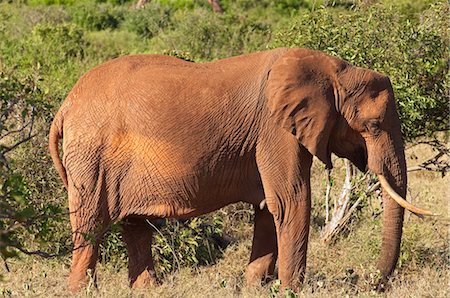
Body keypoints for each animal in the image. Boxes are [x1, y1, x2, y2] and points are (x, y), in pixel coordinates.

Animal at [49, 47, 432, 292]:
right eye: (374, 126)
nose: (374, 283)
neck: (335, 70)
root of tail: (66, 105)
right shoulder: (275, 129)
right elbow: (291, 201)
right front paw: (292, 289)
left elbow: (268, 206)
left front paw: (254, 287)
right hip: (92, 154)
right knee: (90, 224)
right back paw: (81, 291)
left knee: (134, 224)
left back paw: (149, 290)